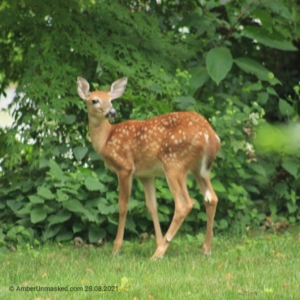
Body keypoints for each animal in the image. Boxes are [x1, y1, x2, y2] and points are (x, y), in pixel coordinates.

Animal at [75, 76, 220, 258]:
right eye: (95, 100)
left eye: (111, 100)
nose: (112, 112)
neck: (106, 139)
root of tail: (211, 136)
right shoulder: (146, 175)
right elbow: (152, 206)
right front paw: (158, 241)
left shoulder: (125, 167)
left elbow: (123, 206)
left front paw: (117, 248)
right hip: (199, 169)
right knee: (211, 198)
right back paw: (204, 249)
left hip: (173, 162)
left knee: (184, 203)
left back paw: (158, 253)